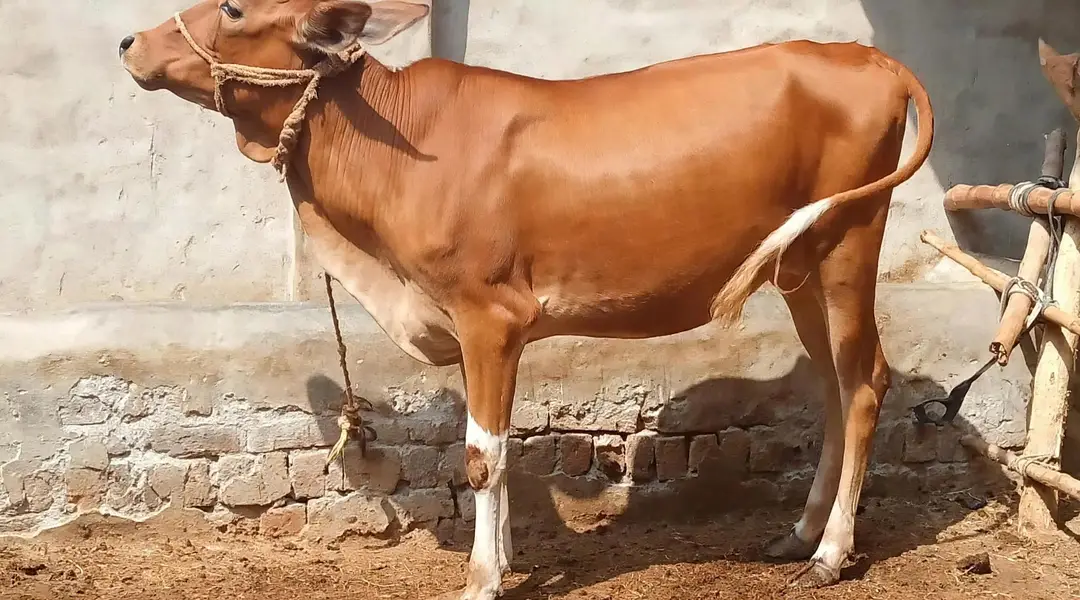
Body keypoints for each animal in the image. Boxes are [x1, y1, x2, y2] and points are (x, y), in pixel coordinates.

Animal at [119, 1, 934, 597]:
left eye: (233, 6)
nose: (129, 40)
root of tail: (870, 58)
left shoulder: (490, 317)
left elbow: (483, 454)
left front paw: (482, 578)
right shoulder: (467, 324)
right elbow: (498, 447)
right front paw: (504, 558)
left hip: (849, 242)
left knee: (864, 384)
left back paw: (830, 552)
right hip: (799, 266)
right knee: (832, 386)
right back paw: (797, 534)